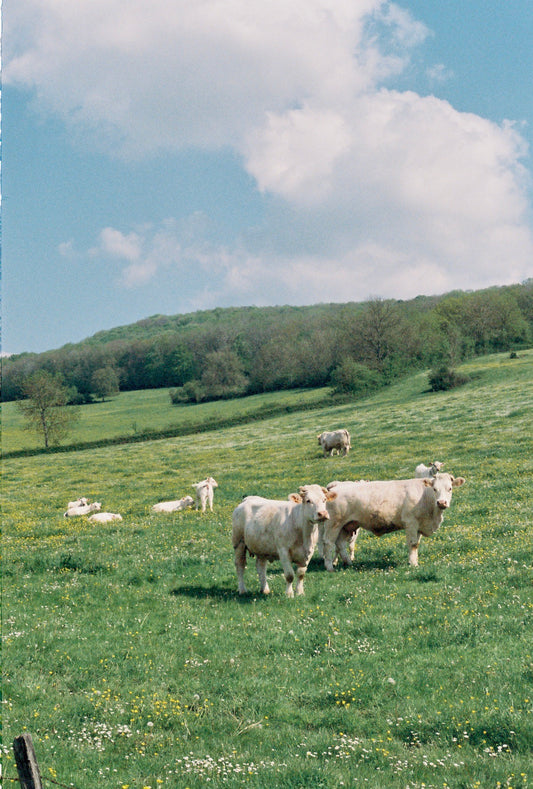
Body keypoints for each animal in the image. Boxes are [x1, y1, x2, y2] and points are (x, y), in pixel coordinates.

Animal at [321, 473, 465, 570]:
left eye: (450, 488)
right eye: (435, 489)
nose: (441, 502)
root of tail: (336, 486)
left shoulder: (419, 525)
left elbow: (417, 544)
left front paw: (415, 561)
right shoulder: (411, 522)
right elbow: (413, 544)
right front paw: (413, 564)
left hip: (346, 526)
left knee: (340, 544)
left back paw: (348, 563)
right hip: (333, 524)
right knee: (328, 543)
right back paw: (329, 567)